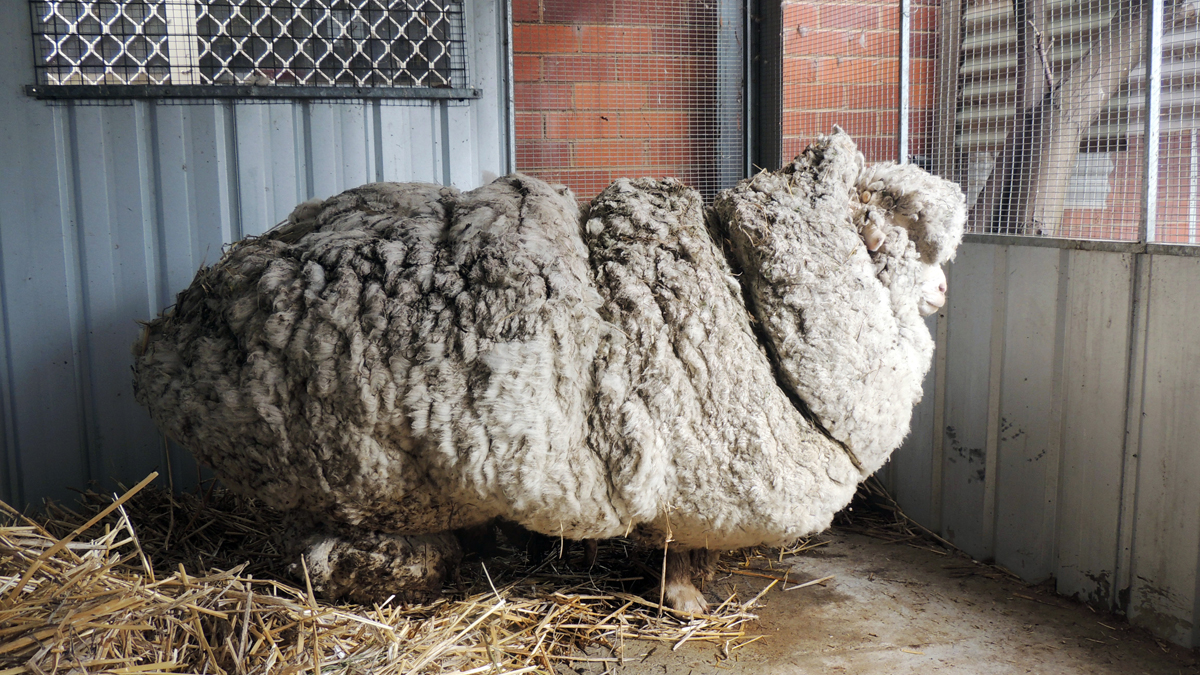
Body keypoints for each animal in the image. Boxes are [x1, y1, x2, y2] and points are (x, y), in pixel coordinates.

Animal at [132, 129, 965, 613]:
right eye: (890, 228)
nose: (946, 292)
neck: (740, 290)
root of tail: (168, 334)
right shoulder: (693, 488)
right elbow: (679, 555)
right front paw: (686, 602)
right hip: (349, 473)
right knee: (322, 558)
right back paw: (411, 568)